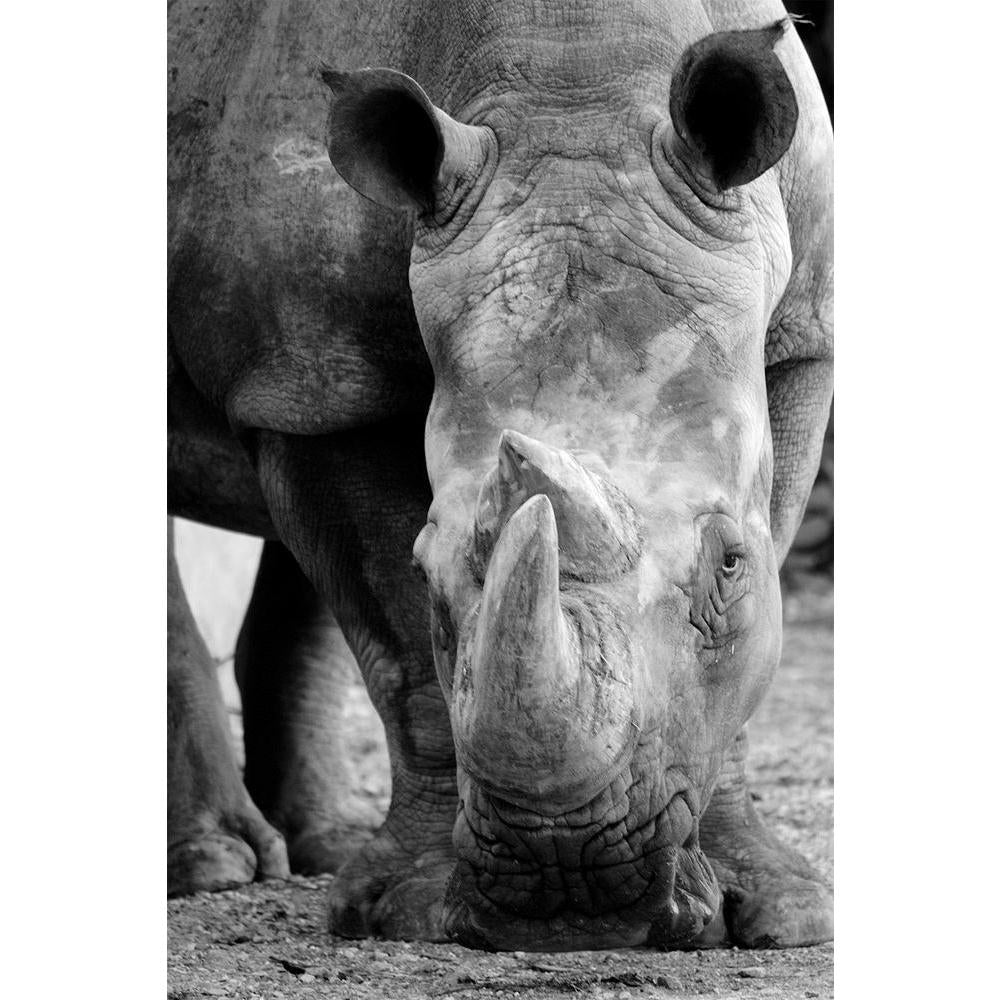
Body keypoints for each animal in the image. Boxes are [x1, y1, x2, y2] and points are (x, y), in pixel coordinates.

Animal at [168, 0, 833, 952]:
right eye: (428, 570)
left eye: (728, 563)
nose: (570, 886)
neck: (577, 85)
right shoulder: (310, 376)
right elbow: (402, 649)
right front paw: (410, 909)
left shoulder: (801, 335)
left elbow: (754, 624)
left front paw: (779, 910)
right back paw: (214, 868)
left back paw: (321, 847)